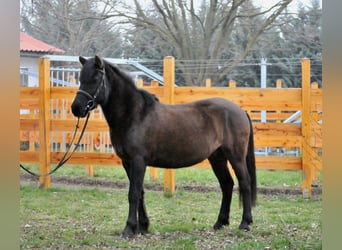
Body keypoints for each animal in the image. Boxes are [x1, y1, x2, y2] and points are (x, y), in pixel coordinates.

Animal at [70, 55, 256, 237]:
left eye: (95, 79)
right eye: (80, 78)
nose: (76, 108)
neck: (134, 115)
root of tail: (240, 110)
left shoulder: (138, 161)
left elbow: (133, 193)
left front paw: (129, 229)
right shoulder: (128, 162)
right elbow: (140, 192)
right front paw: (142, 227)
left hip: (235, 156)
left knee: (244, 183)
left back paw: (245, 223)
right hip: (217, 158)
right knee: (227, 184)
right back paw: (220, 223)